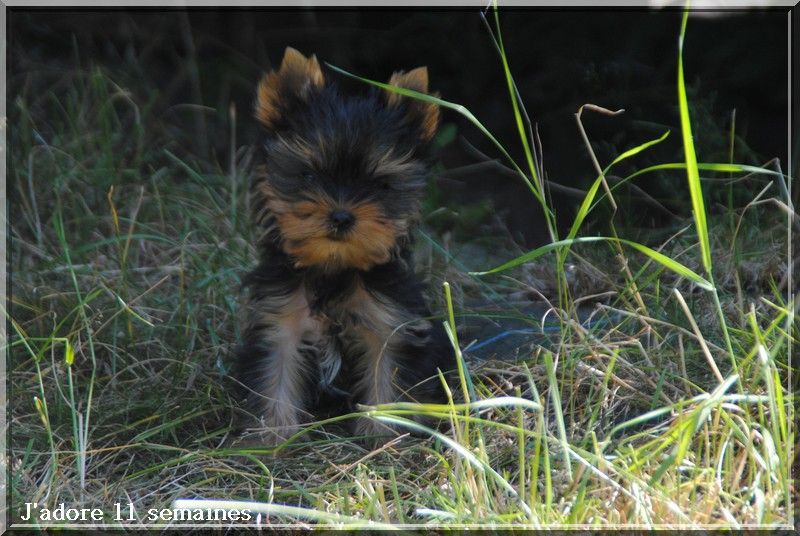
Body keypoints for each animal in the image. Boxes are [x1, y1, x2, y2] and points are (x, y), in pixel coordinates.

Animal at [234, 49, 454, 444]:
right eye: (308, 174)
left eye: (381, 185)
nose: (340, 215)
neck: (334, 266)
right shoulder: (280, 318)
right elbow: (276, 370)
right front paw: (270, 434)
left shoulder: (389, 321)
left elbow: (387, 370)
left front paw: (384, 433)